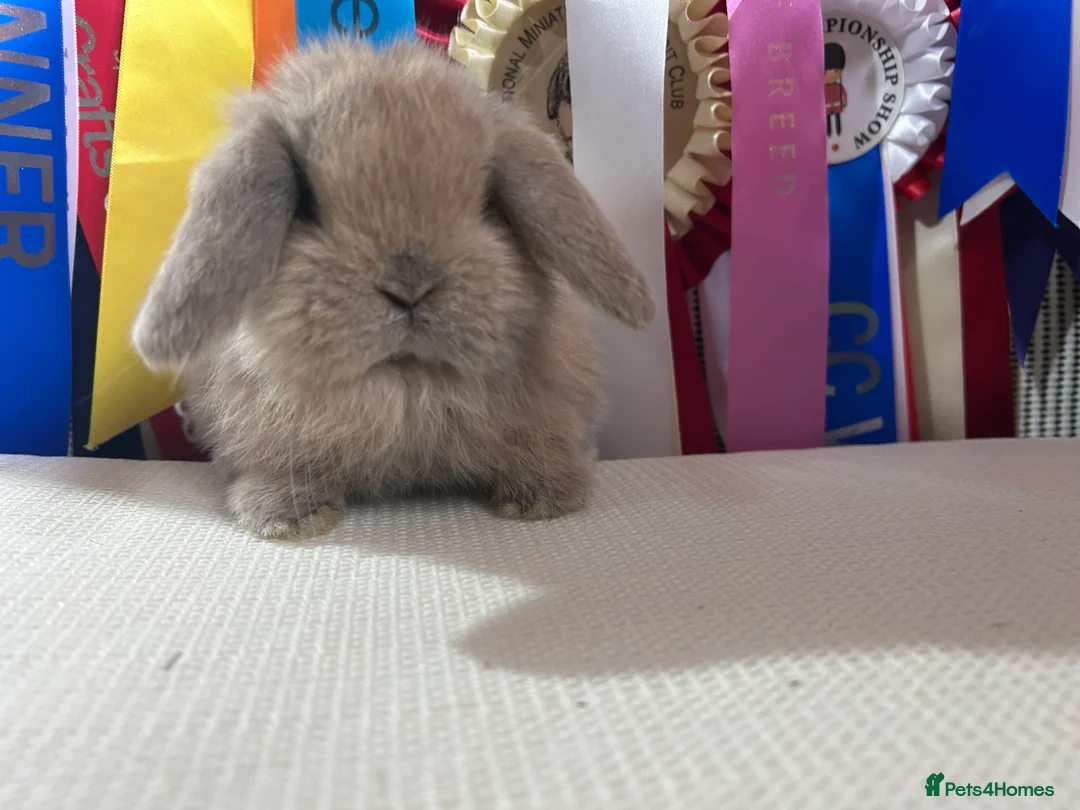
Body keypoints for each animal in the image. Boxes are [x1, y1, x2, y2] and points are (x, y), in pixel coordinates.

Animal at [131, 38, 655, 539]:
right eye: (306, 202)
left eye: (488, 202)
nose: (409, 285)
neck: (407, 384)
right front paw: (286, 519)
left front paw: (544, 500)